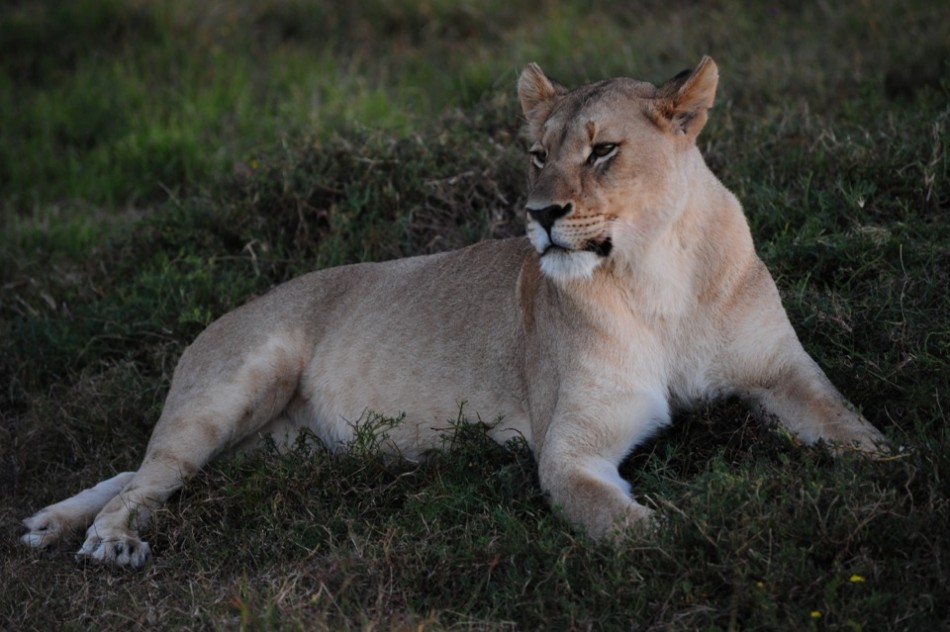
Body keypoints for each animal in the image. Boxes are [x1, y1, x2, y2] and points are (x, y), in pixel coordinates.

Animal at [21, 57, 884, 568]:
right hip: (235, 388)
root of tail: (217, 320)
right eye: (538, 154)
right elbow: (635, 531)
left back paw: (50, 523)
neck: (655, 275)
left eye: (603, 150)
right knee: (150, 475)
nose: (539, 214)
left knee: (146, 469)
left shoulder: (786, 377)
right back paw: (100, 539)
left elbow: (862, 436)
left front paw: (897, 484)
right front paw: (692, 549)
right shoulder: (570, 451)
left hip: (267, 448)